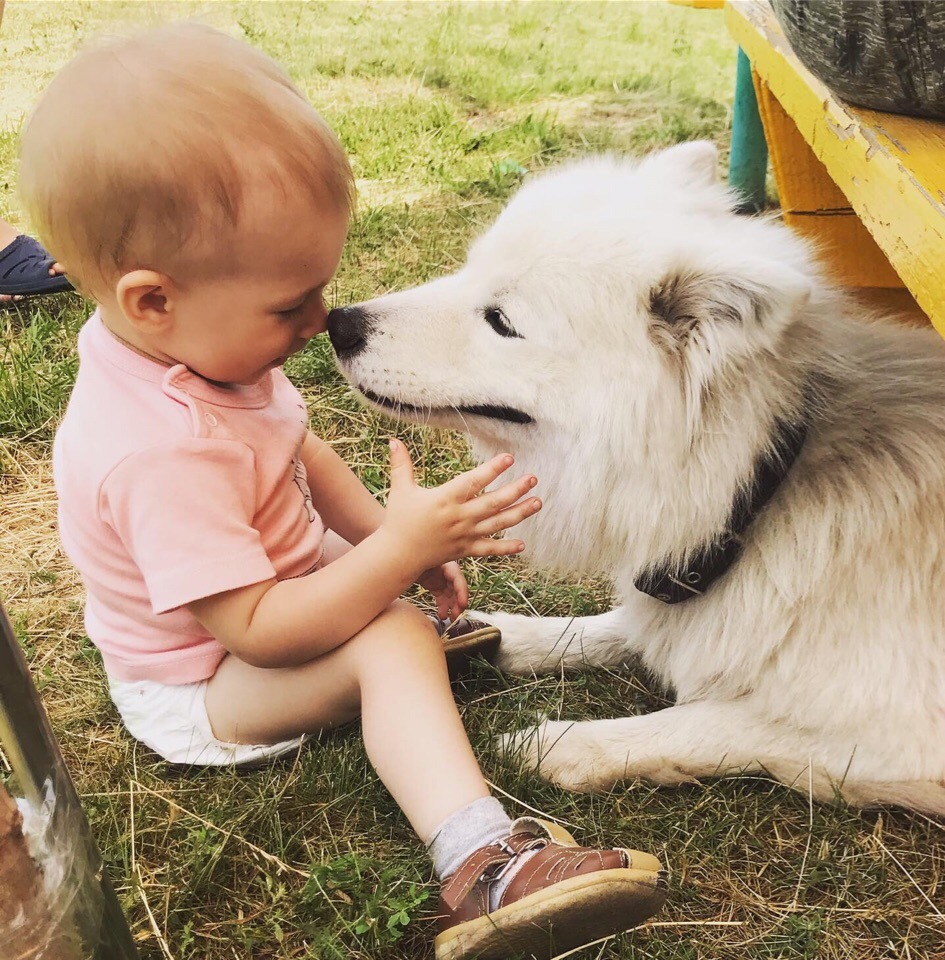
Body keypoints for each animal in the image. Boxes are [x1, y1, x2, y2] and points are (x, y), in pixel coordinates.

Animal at [326, 144, 944, 816]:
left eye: (501, 320)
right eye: (468, 271)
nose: (338, 322)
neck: (761, 480)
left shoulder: (898, 740)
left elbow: (710, 720)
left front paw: (563, 745)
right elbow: (620, 624)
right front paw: (510, 636)